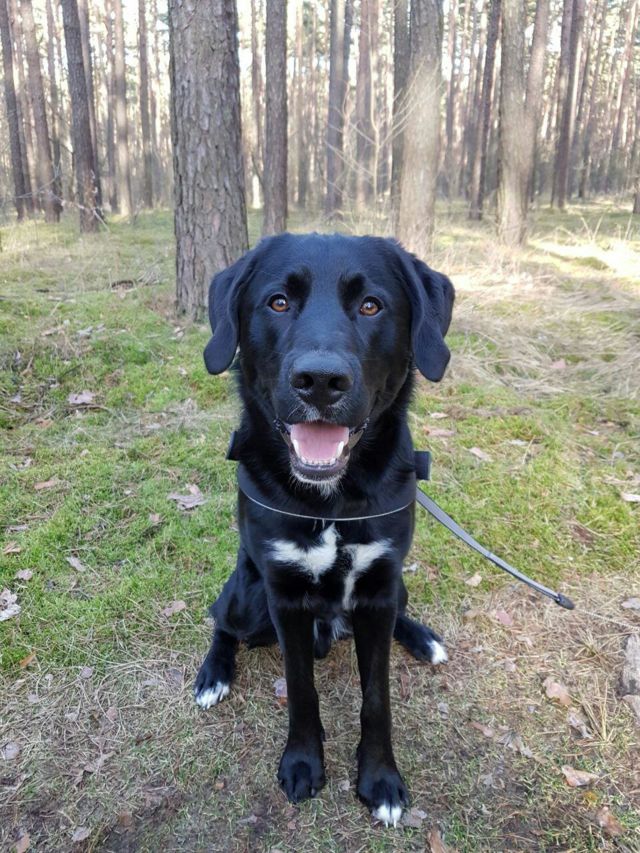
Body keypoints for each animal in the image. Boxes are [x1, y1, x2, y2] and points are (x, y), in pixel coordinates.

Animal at [195, 233, 454, 826]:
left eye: (371, 306)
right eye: (278, 302)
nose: (319, 382)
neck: (334, 501)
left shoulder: (380, 587)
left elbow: (377, 697)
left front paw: (380, 779)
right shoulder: (284, 597)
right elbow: (300, 689)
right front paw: (302, 764)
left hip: (394, 587)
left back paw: (422, 638)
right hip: (249, 597)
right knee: (222, 619)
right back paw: (214, 674)